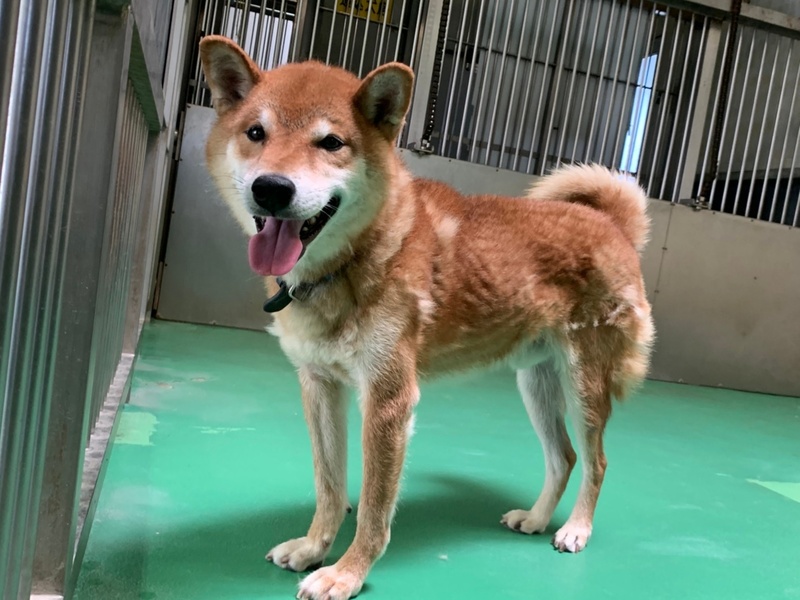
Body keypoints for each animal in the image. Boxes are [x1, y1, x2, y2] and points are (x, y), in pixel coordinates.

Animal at [199, 35, 654, 600]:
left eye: (331, 143)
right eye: (255, 133)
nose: (272, 188)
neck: (355, 257)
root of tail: (611, 224)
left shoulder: (388, 401)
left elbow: (373, 508)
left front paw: (347, 573)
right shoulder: (319, 385)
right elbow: (329, 485)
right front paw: (313, 548)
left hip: (585, 387)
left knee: (596, 461)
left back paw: (575, 528)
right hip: (537, 383)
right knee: (563, 457)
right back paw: (535, 518)